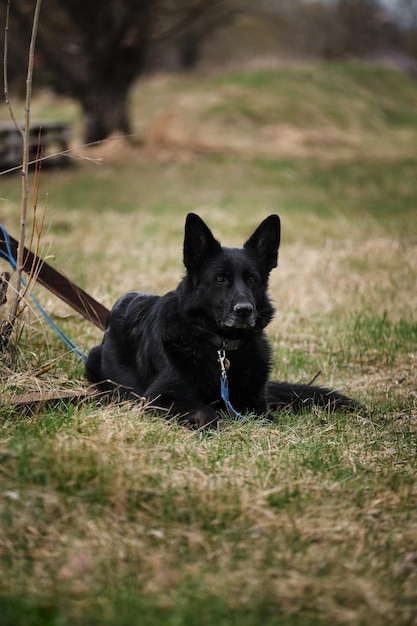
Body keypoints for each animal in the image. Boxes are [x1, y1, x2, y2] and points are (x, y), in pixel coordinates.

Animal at [86, 212, 352, 426]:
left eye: (252, 279)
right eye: (220, 279)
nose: (244, 310)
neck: (221, 345)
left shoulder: (257, 403)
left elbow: (269, 419)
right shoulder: (155, 399)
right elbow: (204, 409)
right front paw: (208, 427)